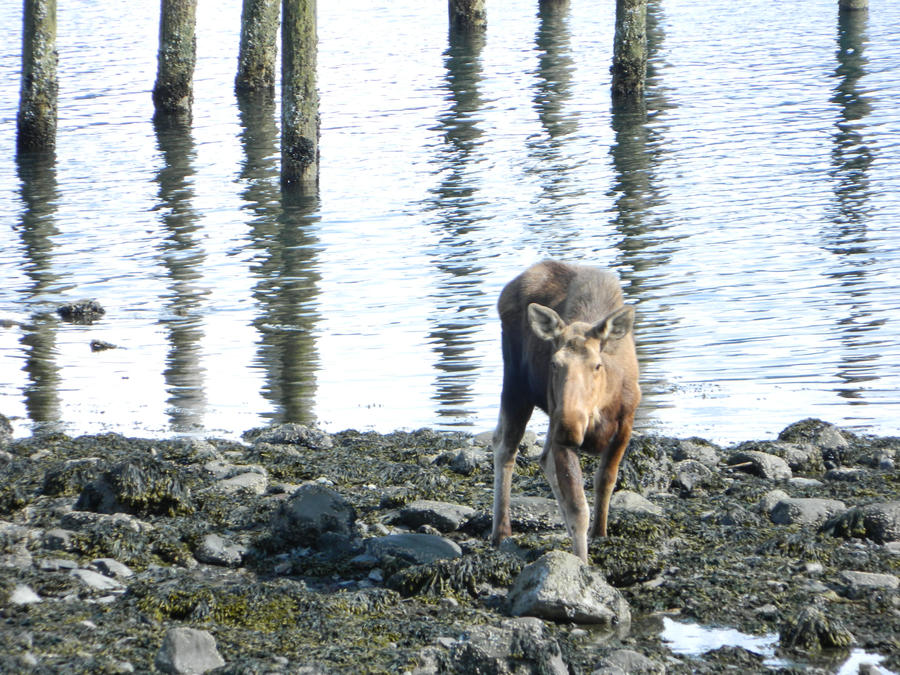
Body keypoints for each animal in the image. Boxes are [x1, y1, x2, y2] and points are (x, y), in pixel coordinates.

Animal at [492, 262, 640, 564]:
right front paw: (582, 561)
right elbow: (578, 507)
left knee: (538, 455)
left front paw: (600, 533)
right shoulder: (561, 431)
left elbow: (606, 481)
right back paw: (501, 532)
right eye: (554, 363)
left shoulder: (626, 422)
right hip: (517, 386)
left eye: (597, 365)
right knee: (505, 448)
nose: (570, 427)